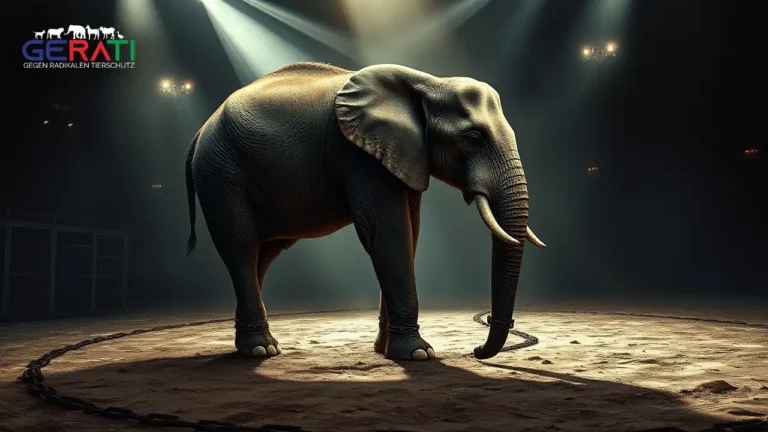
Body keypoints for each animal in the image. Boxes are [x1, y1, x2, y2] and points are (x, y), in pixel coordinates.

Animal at [185, 62, 546, 361]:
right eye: (473, 136)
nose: (476, 350)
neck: (429, 82)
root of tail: (200, 131)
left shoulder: (400, 156)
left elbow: (410, 234)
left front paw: (386, 350)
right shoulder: (358, 154)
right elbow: (388, 233)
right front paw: (418, 355)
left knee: (263, 253)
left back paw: (251, 347)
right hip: (221, 174)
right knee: (240, 247)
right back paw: (262, 351)